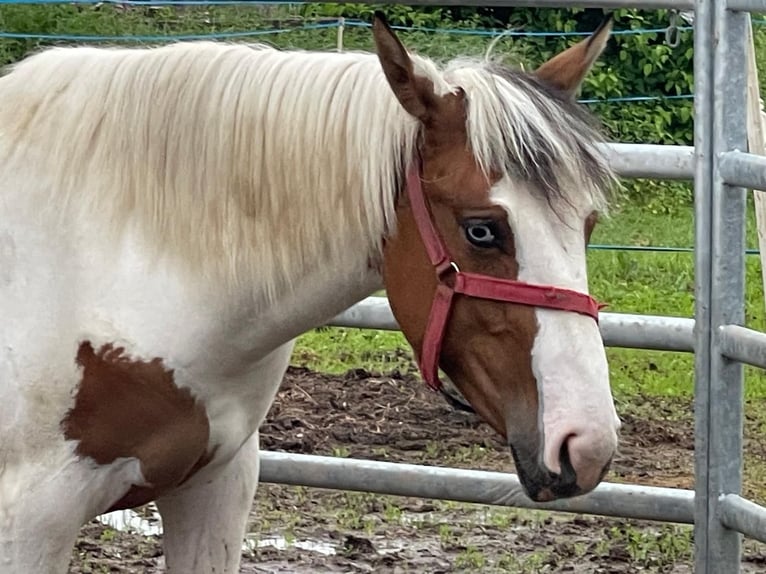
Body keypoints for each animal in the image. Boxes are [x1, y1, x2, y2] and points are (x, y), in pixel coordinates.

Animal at [0, 13, 624, 574]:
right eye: (482, 230)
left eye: (589, 223)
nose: (585, 443)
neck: (110, 272)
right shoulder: (32, 522)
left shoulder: (215, 486)